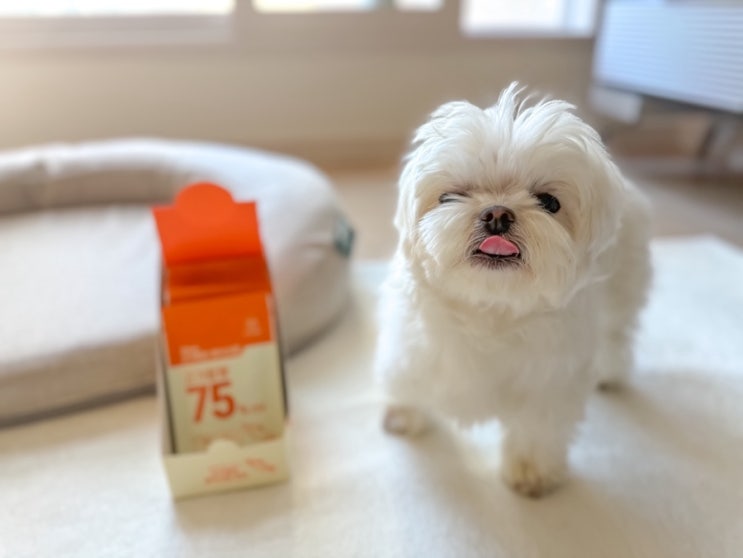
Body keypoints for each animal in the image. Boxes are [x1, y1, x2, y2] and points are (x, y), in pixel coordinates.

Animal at [374, 83, 651, 498]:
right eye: (450, 196)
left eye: (549, 202)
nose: (497, 213)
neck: (490, 306)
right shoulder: (411, 345)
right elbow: (406, 377)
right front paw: (403, 413)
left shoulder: (549, 379)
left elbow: (537, 427)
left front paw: (531, 472)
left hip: (622, 292)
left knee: (616, 336)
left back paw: (609, 372)